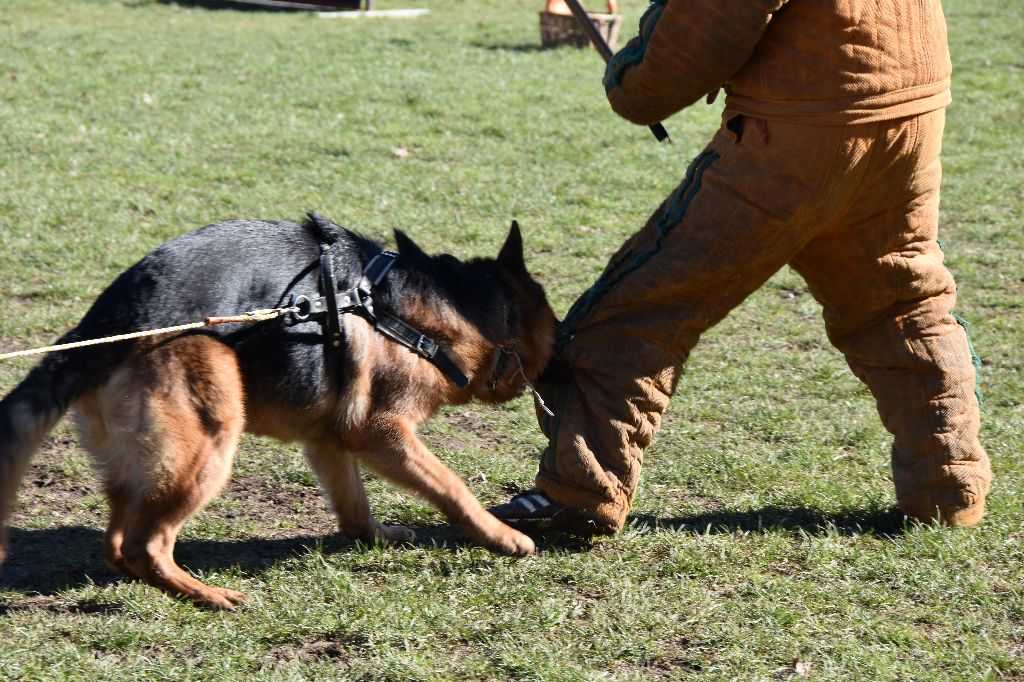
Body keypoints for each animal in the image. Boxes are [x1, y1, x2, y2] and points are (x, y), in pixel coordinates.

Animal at [0, 212, 552, 606]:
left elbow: (354, 506)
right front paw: (503, 537)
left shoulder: (330, 438)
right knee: (146, 544)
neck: (453, 309)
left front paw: (375, 536)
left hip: (142, 463)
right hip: (209, 440)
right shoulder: (381, 430)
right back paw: (209, 596)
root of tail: (105, 322)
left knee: (118, 541)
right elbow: (451, 486)